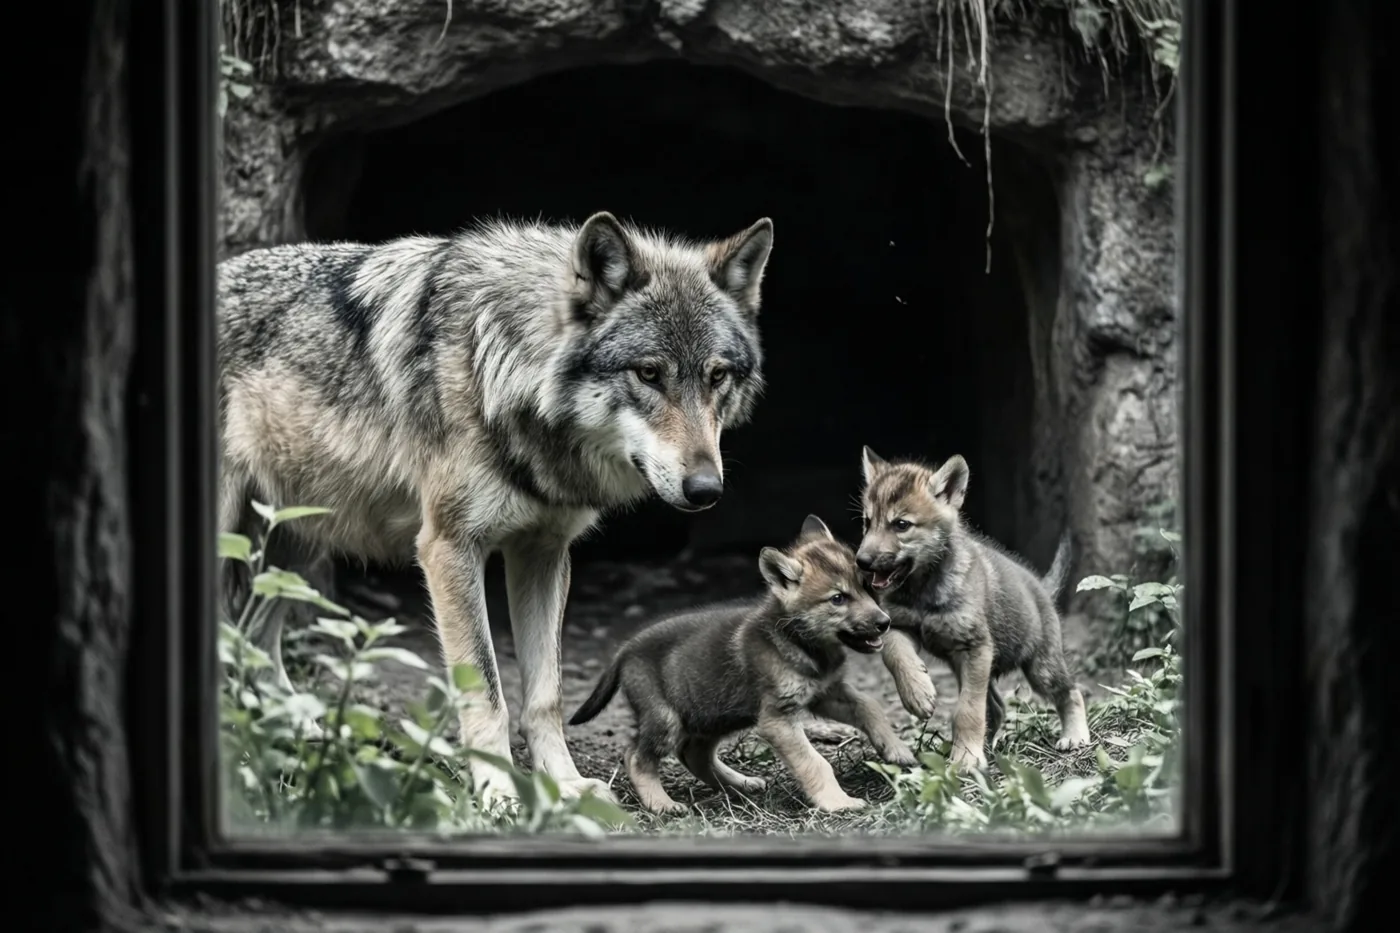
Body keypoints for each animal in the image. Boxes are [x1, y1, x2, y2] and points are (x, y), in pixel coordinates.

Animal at [216, 211, 775, 804]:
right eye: (648, 373)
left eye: (717, 376)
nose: (705, 489)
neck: (501, 370)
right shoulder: (449, 548)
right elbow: (486, 692)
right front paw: (498, 794)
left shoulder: (544, 553)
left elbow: (545, 695)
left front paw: (565, 785)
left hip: (298, 547)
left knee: (253, 640)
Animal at [568, 515, 919, 814]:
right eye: (838, 599)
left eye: (868, 587)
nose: (884, 623)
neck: (802, 644)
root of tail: (625, 649)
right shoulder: (778, 719)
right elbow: (815, 761)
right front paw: (837, 802)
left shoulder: (826, 693)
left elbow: (870, 705)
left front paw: (895, 748)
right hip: (667, 719)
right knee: (636, 757)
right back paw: (662, 804)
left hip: (712, 714)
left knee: (693, 755)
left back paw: (742, 784)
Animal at [856, 447, 1091, 768]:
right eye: (867, 522)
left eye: (901, 525)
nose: (861, 561)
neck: (922, 590)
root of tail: (1041, 587)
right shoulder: (901, 627)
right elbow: (895, 655)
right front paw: (918, 693)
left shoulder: (975, 647)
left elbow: (967, 710)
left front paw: (966, 758)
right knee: (997, 707)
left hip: (1041, 666)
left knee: (1071, 692)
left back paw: (1074, 736)